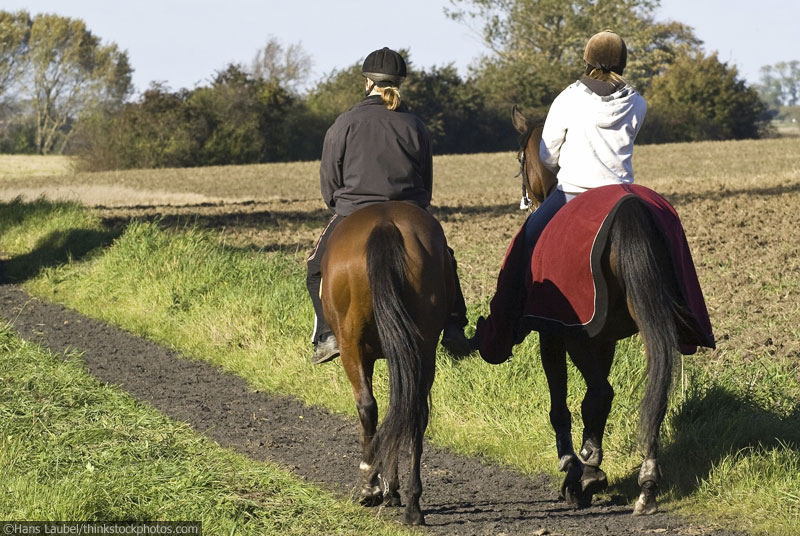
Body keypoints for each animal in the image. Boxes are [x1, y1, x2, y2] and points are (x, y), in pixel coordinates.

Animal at [320, 200, 456, 524]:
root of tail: (386, 224)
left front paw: (382, 486)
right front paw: (393, 489)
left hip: (352, 347)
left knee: (368, 407)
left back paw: (369, 485)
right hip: (422, 348)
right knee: (415, 411)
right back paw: (413, 505)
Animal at [504, 105, 716, 516]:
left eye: (520, 158)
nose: (525, 201)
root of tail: (630, 209)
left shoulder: (554, 334)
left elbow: (565, 404)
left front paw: (576, 467)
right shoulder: (605, 337)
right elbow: (592, 402)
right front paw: (590, 466)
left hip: (576, 333)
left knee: (602, 393)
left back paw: (588, 474)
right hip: (646, 322)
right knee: (653, 390)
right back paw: (647, 481)